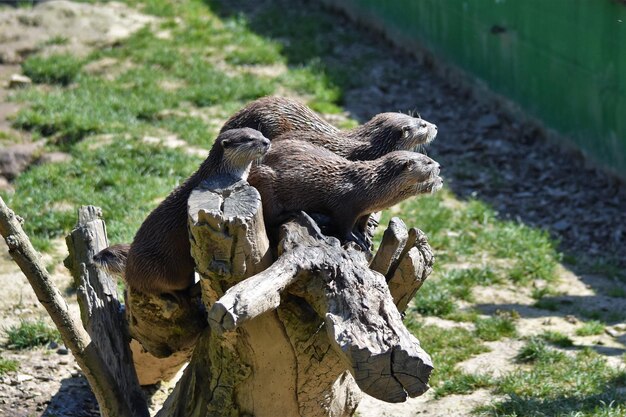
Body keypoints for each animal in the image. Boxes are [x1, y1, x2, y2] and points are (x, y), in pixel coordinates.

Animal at [246, 139, 442, 247]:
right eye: (427, 161)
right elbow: (344, 226)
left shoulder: (366, 210)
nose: (439, 166)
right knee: (271, 217)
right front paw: (357, 240)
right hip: (266, 180)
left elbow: (363, 222)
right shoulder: (346, 207)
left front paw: (365, 236)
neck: (370, 186)